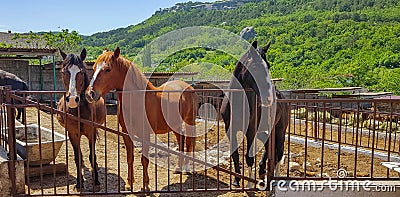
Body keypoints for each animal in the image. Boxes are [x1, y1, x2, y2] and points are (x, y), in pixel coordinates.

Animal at [56, 49, 106, 191]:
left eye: (82, 72)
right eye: (63, 72)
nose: (73, 99)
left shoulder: (91, 133)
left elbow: (92, 156)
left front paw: (96, 182)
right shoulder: (73, 134)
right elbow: (77, 157)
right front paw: (79, 183)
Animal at [85, 47, 198, 191]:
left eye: (108, 69)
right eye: (94, 68)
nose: (90, 94)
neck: (137, 99)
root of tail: (188, 87)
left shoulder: (145, 134)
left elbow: (144, 160)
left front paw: (146, 186)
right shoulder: (126, 134)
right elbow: (130, 158)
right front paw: (129, 184)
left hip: (189, 122)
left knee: (189, 142)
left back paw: (187, 168)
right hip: (175, 125)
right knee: (181, 141)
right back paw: (178, 168)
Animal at [220, 41, 290, 186]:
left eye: (268, 66)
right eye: (255, 68)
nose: (269, 97)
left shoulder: (251, 130)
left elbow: (249, 156)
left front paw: (250, 183)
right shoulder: (230, 128)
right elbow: (235, 154)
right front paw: (236, 179)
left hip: (280, 129)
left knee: (279, 152)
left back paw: (276, 176)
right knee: (269, 145)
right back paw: (262, 170)